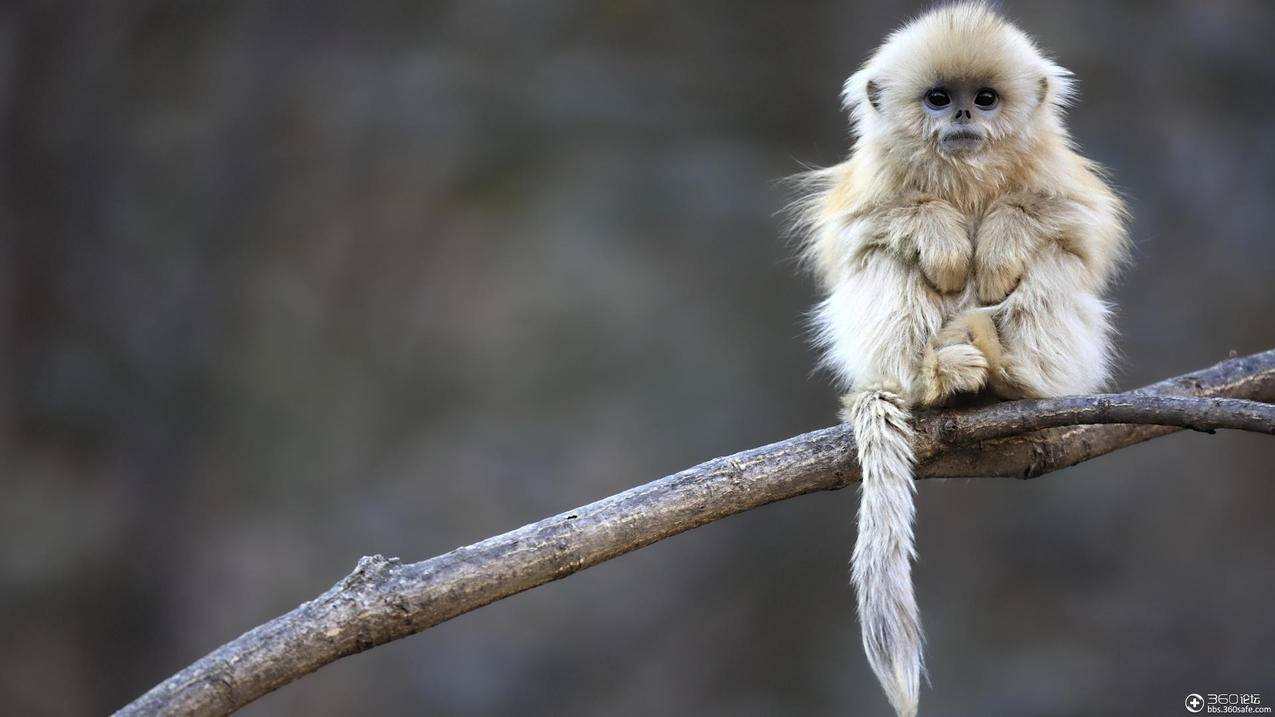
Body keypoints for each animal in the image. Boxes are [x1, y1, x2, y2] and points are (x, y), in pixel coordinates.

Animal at [790, 2, 1132, 709]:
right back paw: (936, 378)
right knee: (884, 261)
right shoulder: (869, 187)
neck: (966, 175)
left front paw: (998, 243)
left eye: (987, 98)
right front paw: (944, 240)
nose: (965, 118)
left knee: (1053, 263)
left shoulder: (1061, 178)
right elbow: (861, 233)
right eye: (939, 98)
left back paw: (1009, 374)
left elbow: (1077, 227)